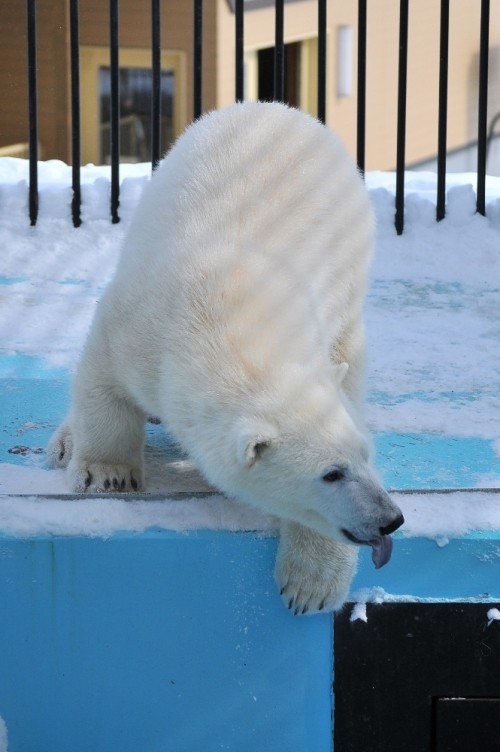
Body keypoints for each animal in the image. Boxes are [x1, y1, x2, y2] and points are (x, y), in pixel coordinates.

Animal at [48, 100, 404, 612]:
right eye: (331, 474)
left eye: (366, 454)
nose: (390, 518)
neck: (223, 318)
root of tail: (281, 108)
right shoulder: (134, 324)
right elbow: (102, 379)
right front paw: (106, 474)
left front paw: (309, 585)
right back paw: (65, 441)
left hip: (349, 261)